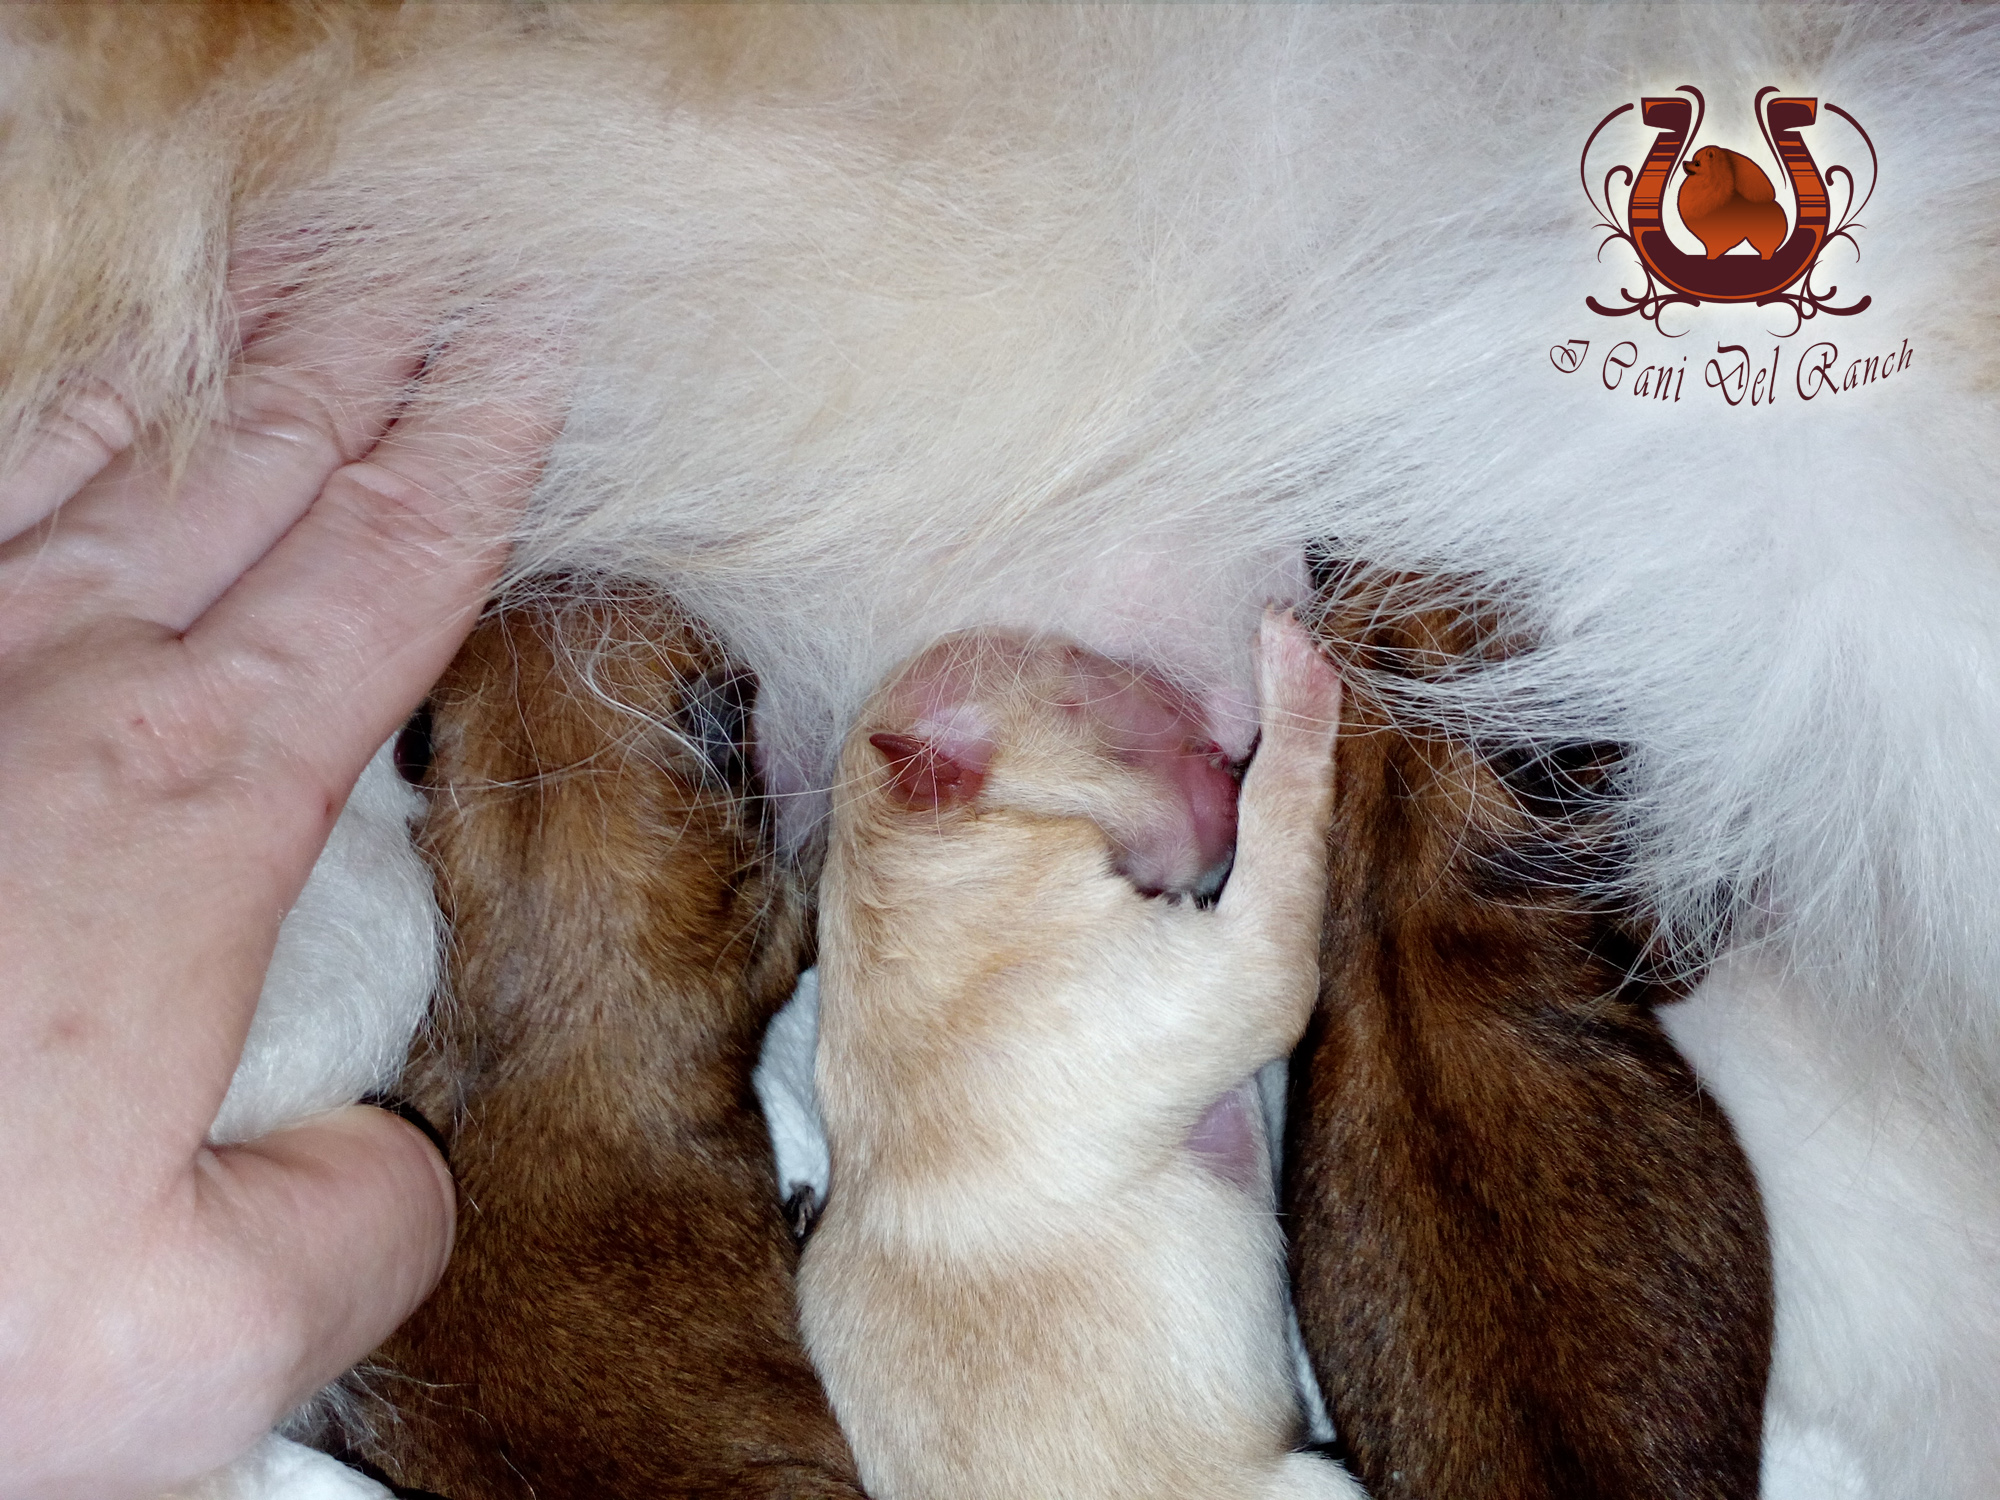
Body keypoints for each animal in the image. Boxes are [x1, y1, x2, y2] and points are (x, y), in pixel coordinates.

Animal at [796, 612, 1360, 1500]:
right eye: (1076, 686)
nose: (1210, 719)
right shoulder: (1225, 970)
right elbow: (1278, 817)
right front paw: (1291, 675)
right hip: (1310, 1483)